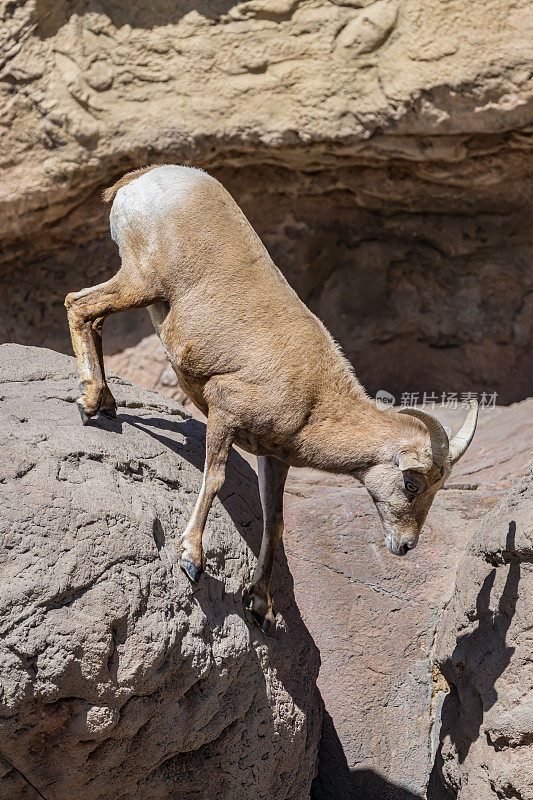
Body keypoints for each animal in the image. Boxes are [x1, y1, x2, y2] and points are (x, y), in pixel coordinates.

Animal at [66, 166, 478, 636]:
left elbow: (275, 523)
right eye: (411, 484)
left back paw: (105, 402)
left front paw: (261, 606)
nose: (406, 546)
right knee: (80, 305)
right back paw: (90, 402)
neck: (314, 401)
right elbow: (215, 479)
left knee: (94, 317)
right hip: (141, 282)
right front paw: (191, 560)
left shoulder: (274, 457)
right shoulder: (225, 411)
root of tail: (144, 179)